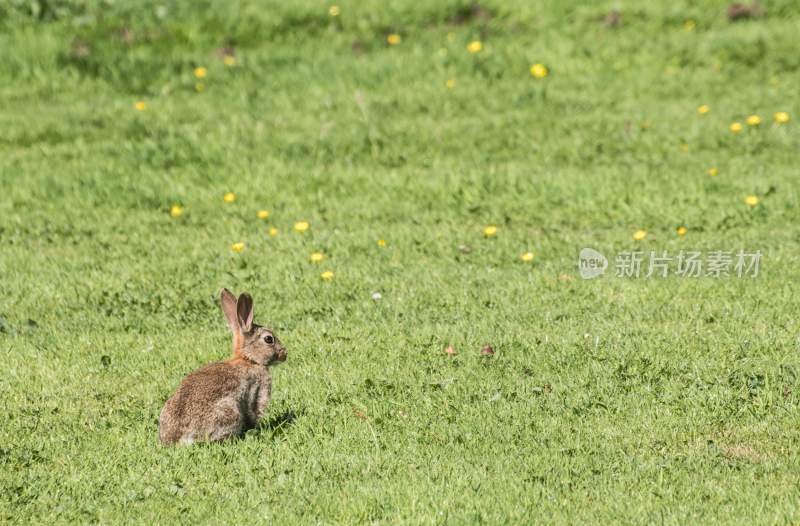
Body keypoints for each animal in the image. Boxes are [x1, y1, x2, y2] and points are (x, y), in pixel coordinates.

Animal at [158, 288, 286, 446]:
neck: (248, 359)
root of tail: (179, 439)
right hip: (229, 412)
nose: (284, 354)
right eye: (269, 339)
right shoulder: (257, 390)